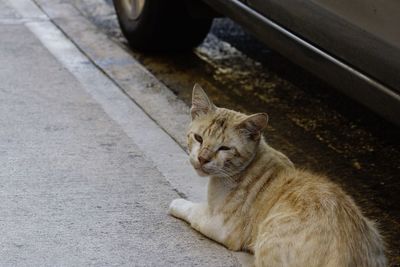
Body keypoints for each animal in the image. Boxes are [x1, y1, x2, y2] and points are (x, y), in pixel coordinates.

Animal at [168, 84, 384, 267]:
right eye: (198, 138)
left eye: (224, 148)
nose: (202, 159)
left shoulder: (220, 225)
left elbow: (190, 209)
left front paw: (177, 203)